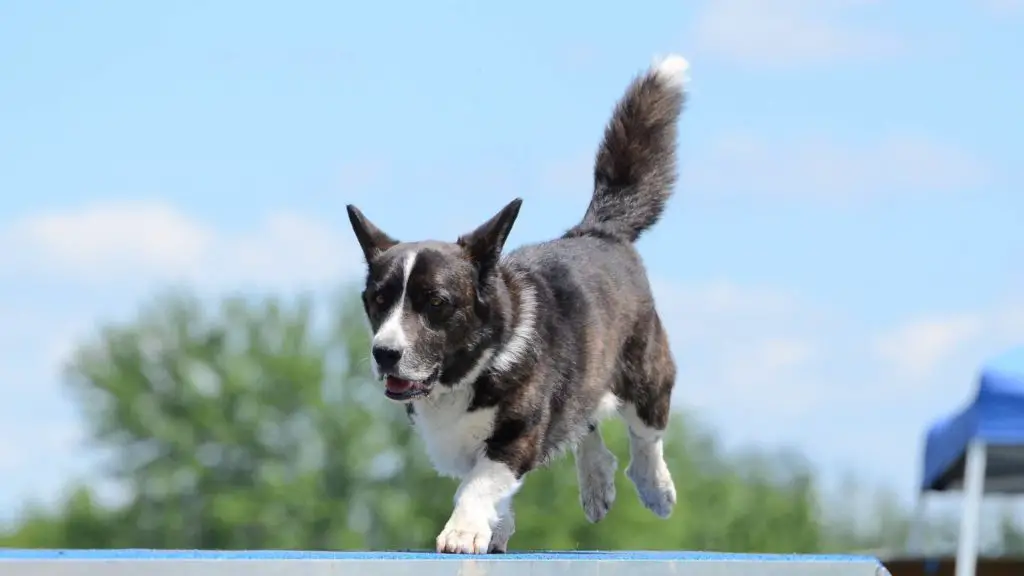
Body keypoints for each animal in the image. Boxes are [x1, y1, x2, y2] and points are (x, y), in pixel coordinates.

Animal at [346, 53, 688, 553]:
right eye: (378, 300)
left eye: (436, 302)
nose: (385, 354)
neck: (471, 370)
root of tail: (598, 231)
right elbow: (489, 488)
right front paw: (495, 529)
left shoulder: (517, 436)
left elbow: (479, 483)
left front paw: (463, 532)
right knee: (585, 421)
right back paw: (597, 483)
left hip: (644, 374)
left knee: (646, 434)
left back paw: (655, 487)